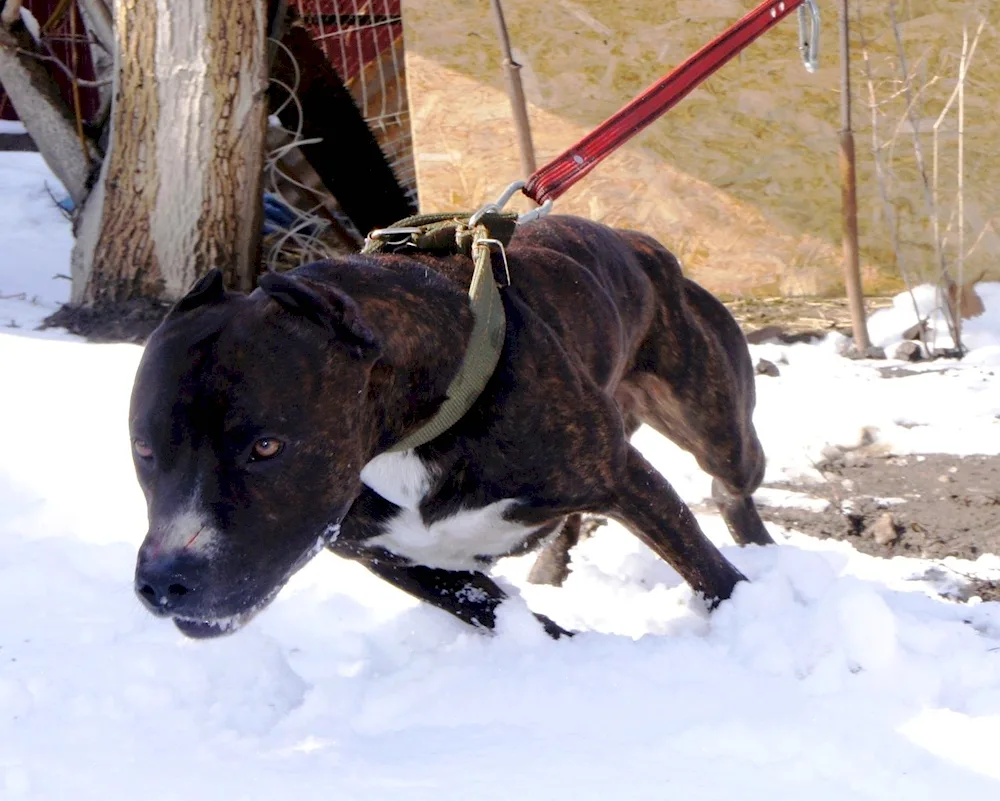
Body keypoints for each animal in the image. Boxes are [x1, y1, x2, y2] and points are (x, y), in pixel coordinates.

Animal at [131, 214, 772, 636]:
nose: (164, 580)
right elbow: (498, 611)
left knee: (731, 484)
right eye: (144, 450)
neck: (406, 437)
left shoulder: (623, 480)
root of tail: (640, 243)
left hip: (717, 428)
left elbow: (709, 572)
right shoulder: (399, 560)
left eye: (267, 446)